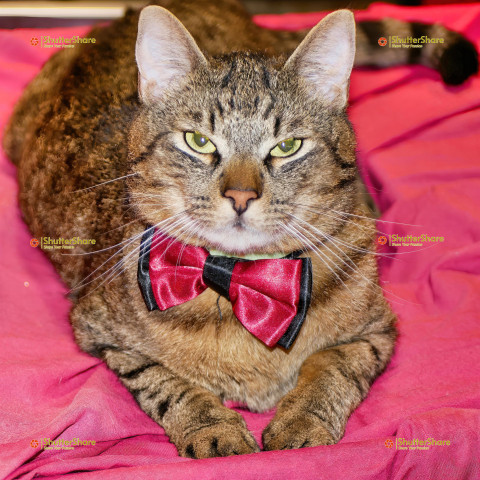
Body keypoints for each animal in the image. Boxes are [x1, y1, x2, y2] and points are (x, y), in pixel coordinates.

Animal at [3, 0, 476, 460]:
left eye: (287, 146)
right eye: (199, 141)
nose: (241, 195)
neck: (240, 279)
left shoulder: (377, 332)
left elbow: (332, 368)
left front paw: (303, 421)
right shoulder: (101, 333)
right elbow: (167, 383)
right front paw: (211, 428)